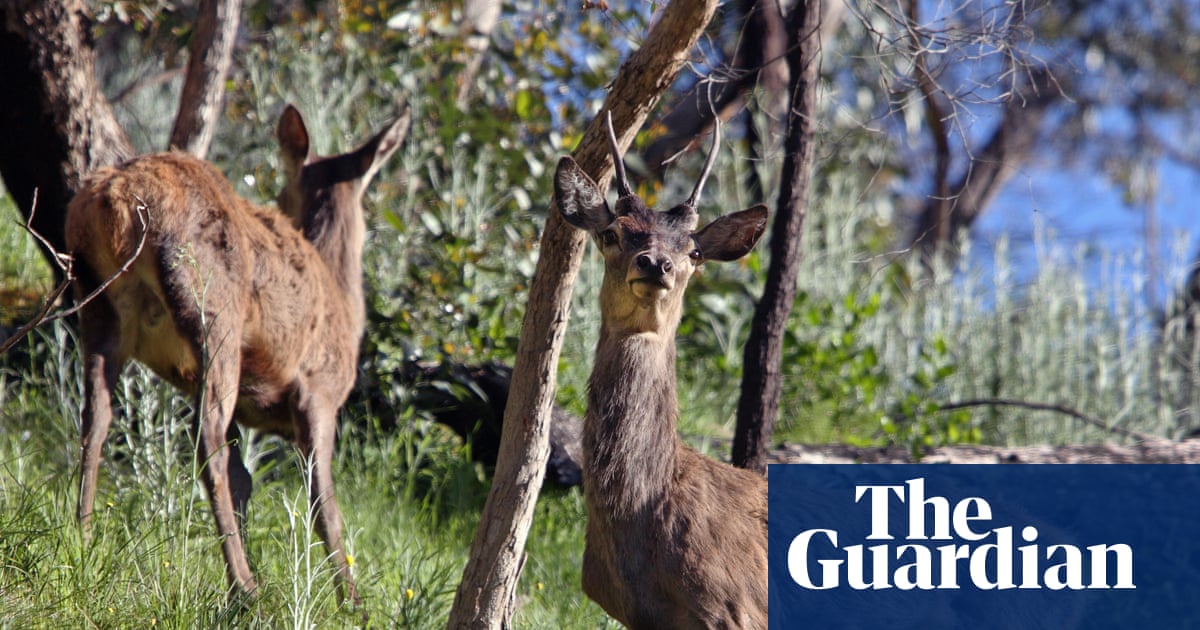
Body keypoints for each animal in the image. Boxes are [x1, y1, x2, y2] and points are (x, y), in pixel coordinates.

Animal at [63, 104, 409, 606]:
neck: (344, 300)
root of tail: (118, 199)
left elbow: (244, 478)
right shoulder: (318, 392)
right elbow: (323, 498)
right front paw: (352, 603)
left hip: (98, 305)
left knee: (96, 418)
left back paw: (84, 540)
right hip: (214, 310)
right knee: (204, 437)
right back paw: (245, 589)